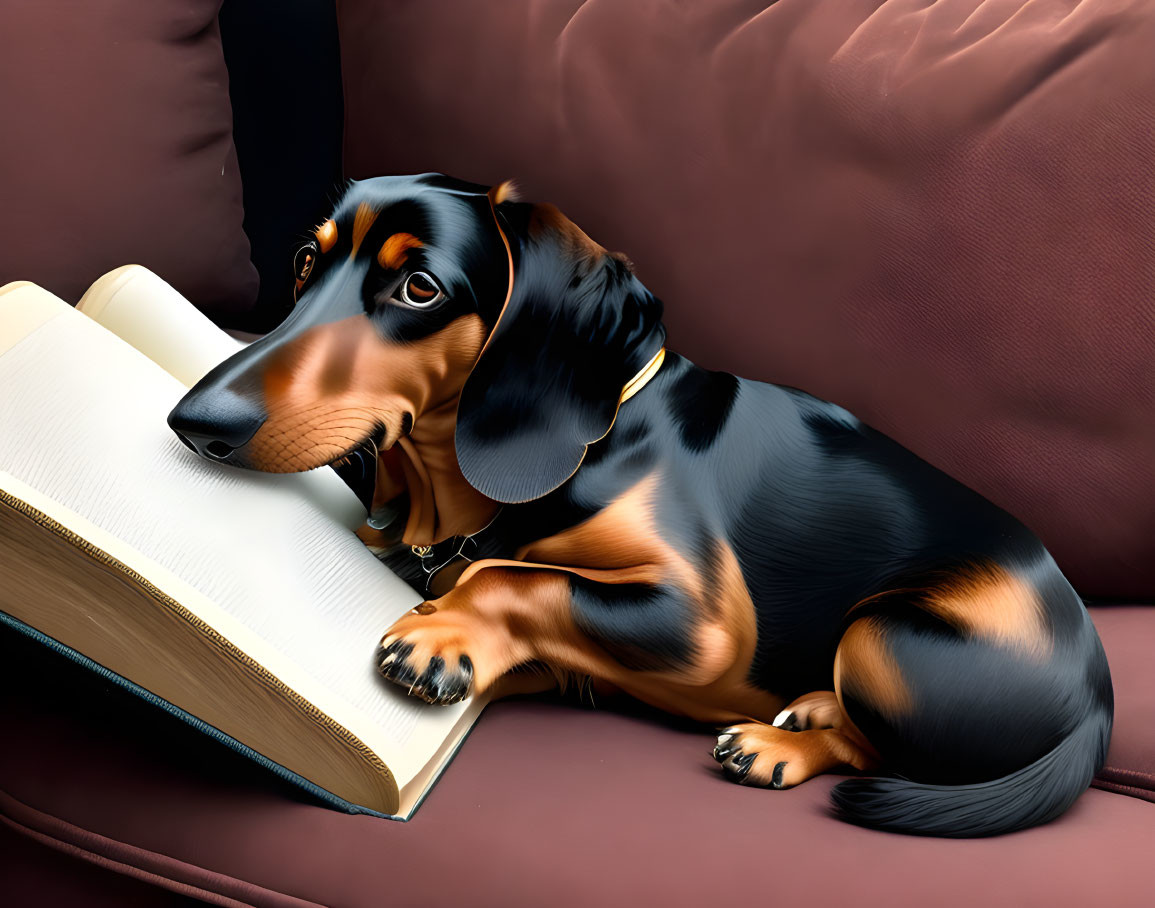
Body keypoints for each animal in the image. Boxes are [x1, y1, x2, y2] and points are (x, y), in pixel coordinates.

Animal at [168, 173, 1108, 836]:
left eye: (420, 289)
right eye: (305, 261)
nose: (194, 422)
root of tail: (1097, 702)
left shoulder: (698, 619)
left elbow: (506, 575)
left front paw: (439, 634)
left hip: (883, 635)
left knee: (877, 740)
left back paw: (777, 742)